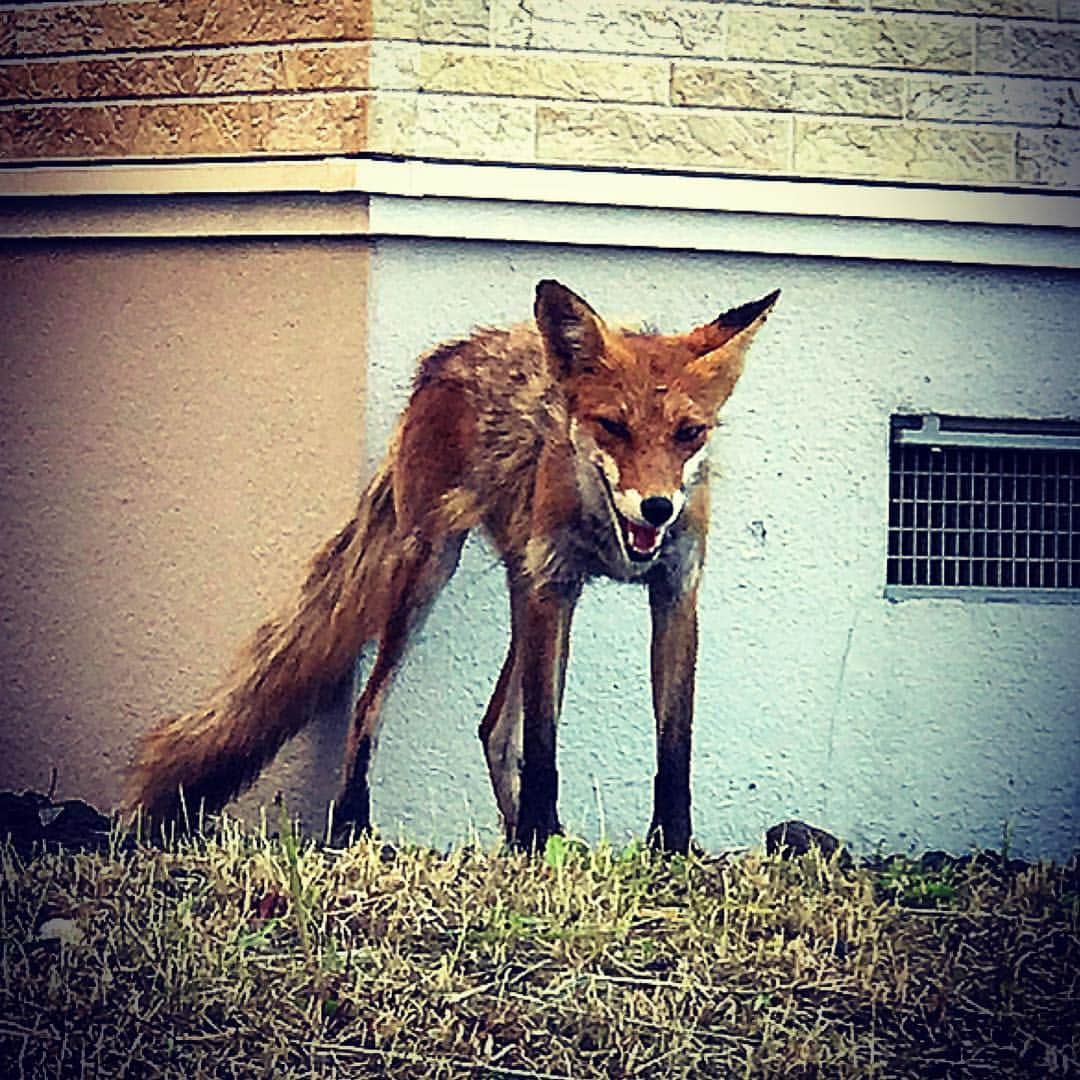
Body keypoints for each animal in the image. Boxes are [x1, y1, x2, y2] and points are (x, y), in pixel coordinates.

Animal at [126, 278, 781, 851]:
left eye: (689, 433)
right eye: (613, 426)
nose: (657, 506)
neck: (608, 539)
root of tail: (444, 360)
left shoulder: (672, 592)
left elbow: (674, 749)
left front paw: (671, 847)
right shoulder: (552, 586)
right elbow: (543, 745)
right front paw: (539, 839)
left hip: (526, 590)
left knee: (494, 730)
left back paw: (518, 836)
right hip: (433, 570)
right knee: (371, 704)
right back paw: (355, 828)